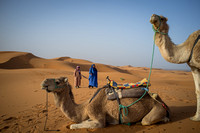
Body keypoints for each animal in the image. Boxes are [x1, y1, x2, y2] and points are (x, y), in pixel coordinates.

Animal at [41, 77, 170, 129]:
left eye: (57, 81)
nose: (44, 82)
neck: (84, 107)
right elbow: (83, 122)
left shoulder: (98, 117)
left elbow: (75, 125)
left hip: (157, 109)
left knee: (146, 120)